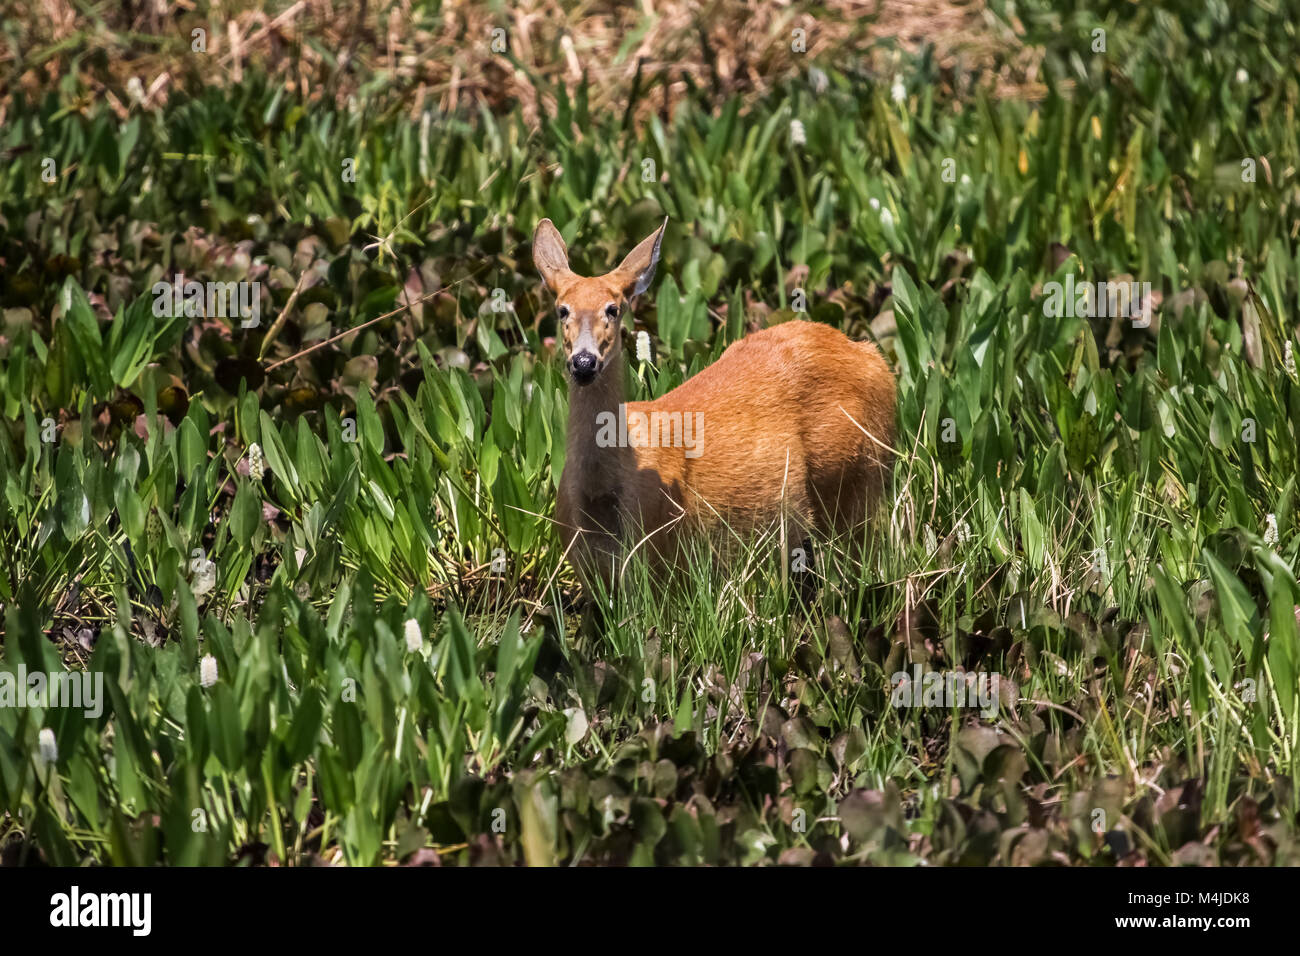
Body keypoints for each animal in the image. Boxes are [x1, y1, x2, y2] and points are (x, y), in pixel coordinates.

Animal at [535, 218, 894, 590]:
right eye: (562, 310)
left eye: (613, 309)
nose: (584, 362)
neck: (601, 500)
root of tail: (871, 355)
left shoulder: (664, 560)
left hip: (858, 478)